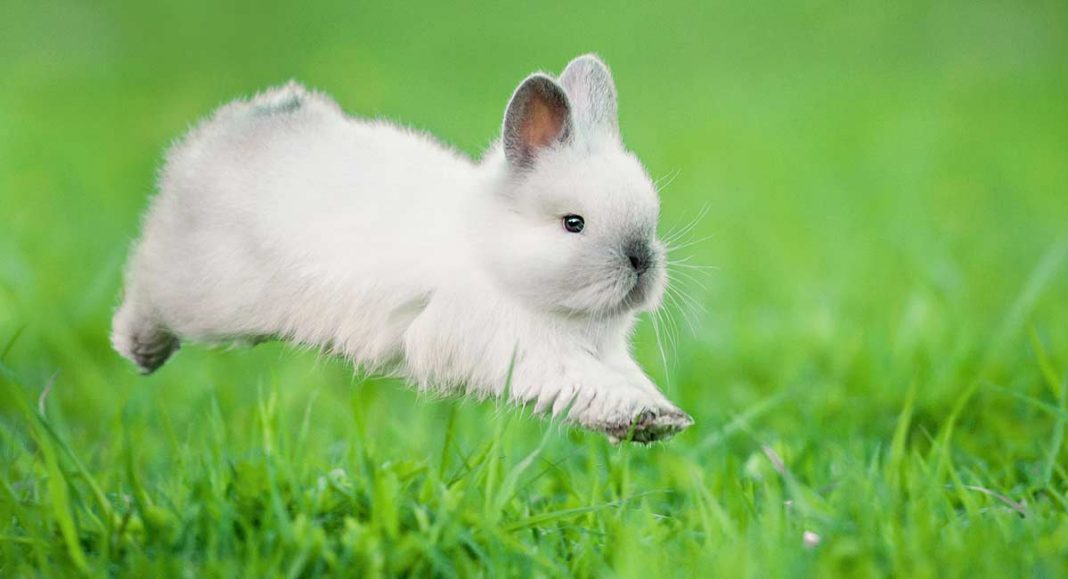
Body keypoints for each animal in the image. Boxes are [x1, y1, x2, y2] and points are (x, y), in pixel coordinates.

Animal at [112, 54, 694, 443]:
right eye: (574, 223)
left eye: (650, 216)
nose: (642, 262)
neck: (495, 255)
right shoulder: (525, 350)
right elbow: (586, 384)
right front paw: (645, 419)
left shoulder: (606, 355)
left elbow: (627, 382)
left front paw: (662, 420)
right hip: (198, 290)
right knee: (146, 284)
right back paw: (140, 351)